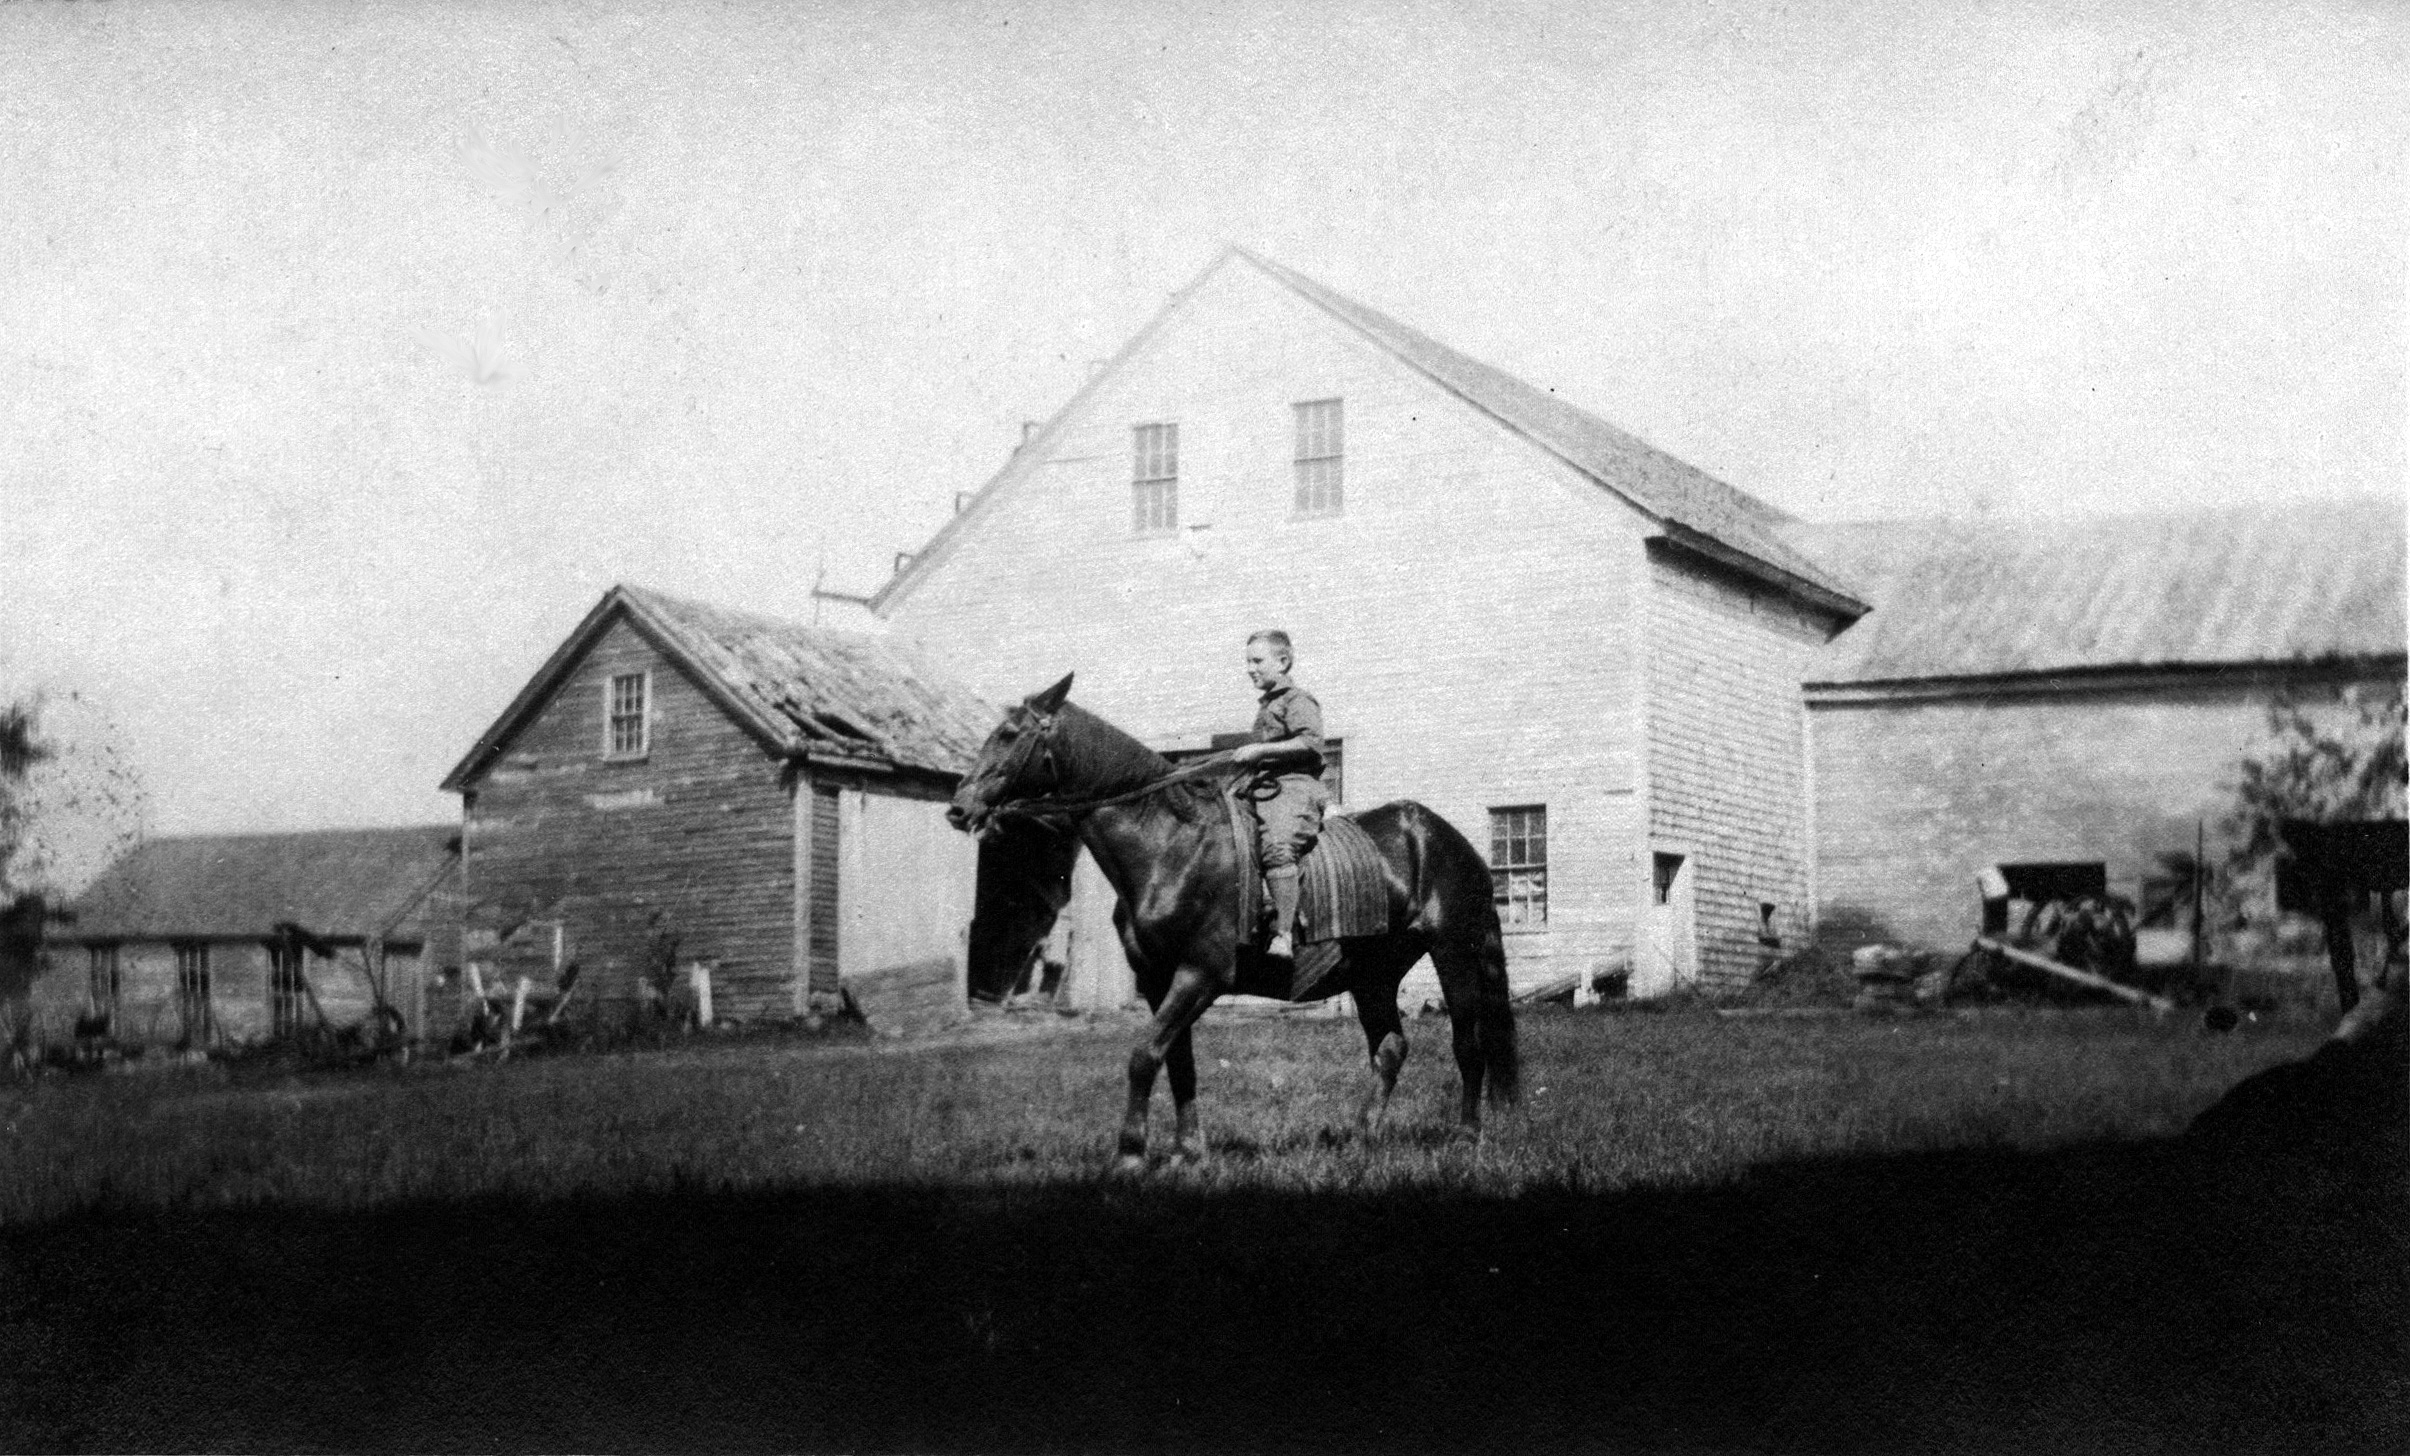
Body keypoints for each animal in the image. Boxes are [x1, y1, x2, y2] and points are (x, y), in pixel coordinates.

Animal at [949, 674, 1513, 1171]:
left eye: (1008, 734)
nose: (958, 807)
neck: (1169, 846)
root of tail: (1450, 840)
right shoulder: (1157, 979)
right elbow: (1179, 1064)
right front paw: (1187, 1152)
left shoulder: (1200, 975)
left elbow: (1143, 1056)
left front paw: (1130, 1155)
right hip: (1373, 975)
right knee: (1391, 1049)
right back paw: (1362, 1137)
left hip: (1453, 954)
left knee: (1469, 1044)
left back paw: (1467, 1136)